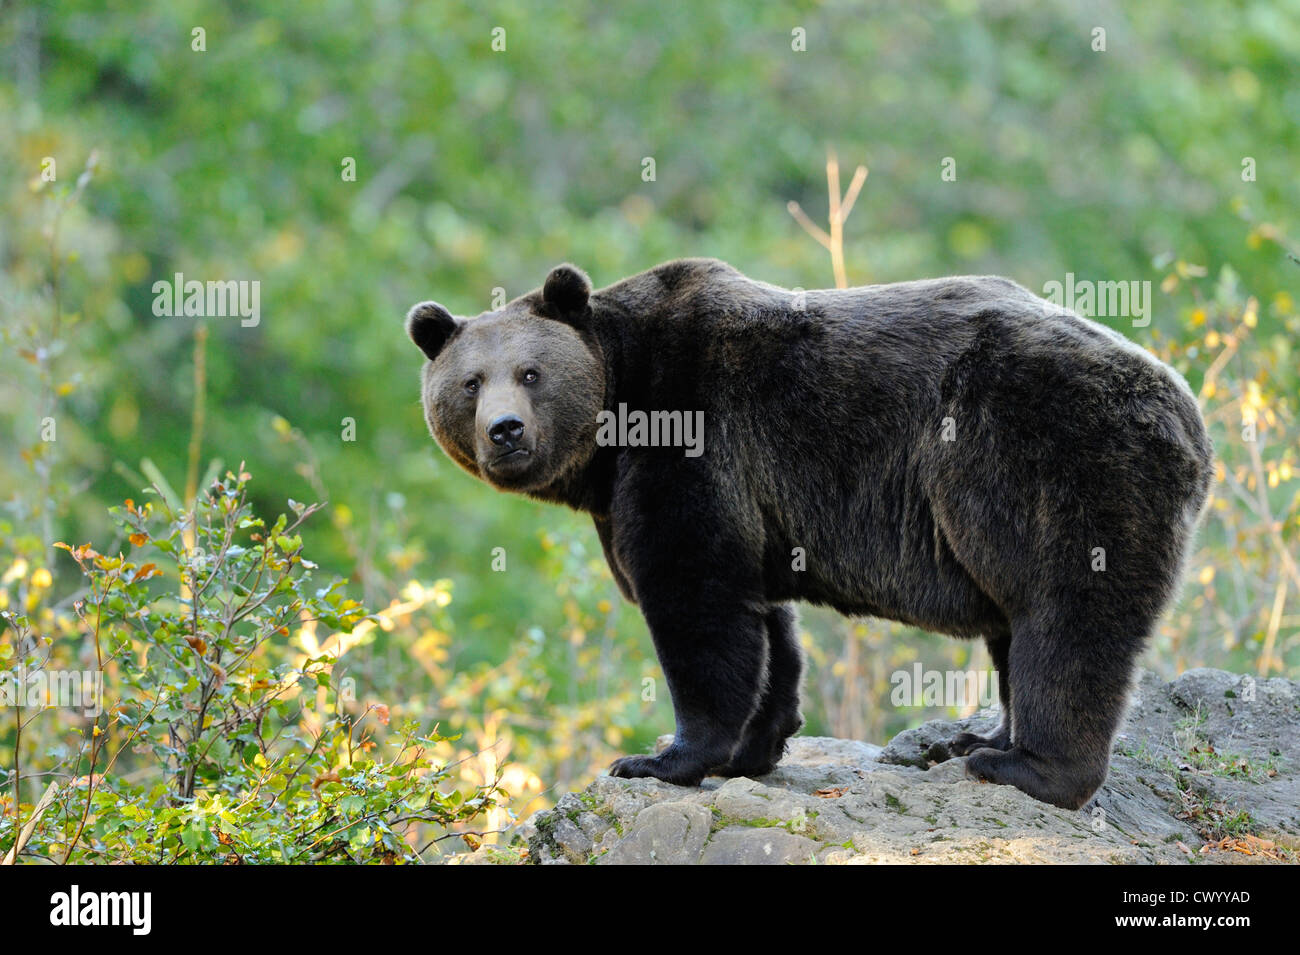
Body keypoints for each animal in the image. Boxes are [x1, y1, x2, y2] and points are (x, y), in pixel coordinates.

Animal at [406, 258, 1212, 810]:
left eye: (531, 372)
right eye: (470, 382)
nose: (505, 432)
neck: (613, 430)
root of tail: (1189, 415)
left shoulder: (691, 436)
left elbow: (693, 598)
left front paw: (662, 758)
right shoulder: (751, 505)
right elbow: (765, 625)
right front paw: (757, 743)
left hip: (1045, 453)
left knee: (1065, 615)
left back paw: (1028, 767)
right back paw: (976, 738)